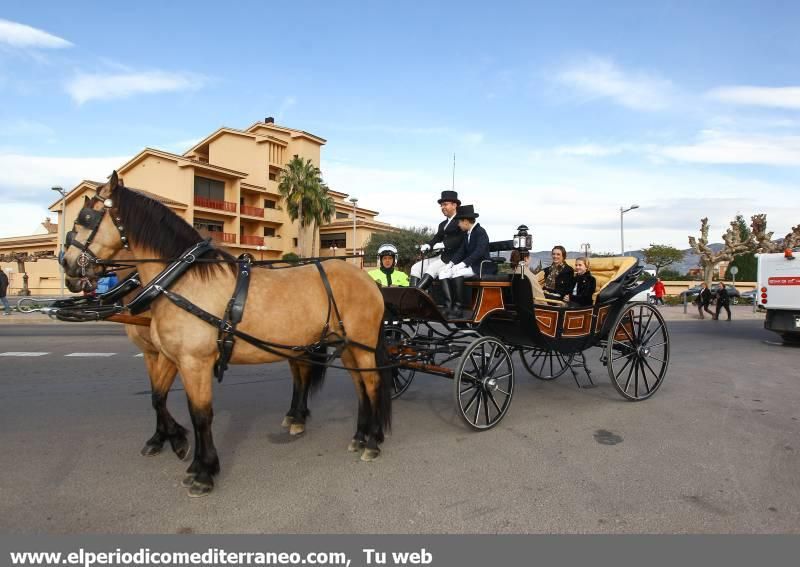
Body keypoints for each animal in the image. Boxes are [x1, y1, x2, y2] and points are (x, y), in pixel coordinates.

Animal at [59, 173, 390, 496]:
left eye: (86, 218)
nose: (67, 264)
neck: (181, 281)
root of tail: (368, 280)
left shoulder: (195, 362)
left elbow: (200, 414)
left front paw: (202, 471)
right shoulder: (172, 357)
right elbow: (161, 398)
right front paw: (177, 442)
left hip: (361, 345)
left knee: (372, 384)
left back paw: (372, 442)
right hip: (345, 346)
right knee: (358, 385)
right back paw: (359, 435)